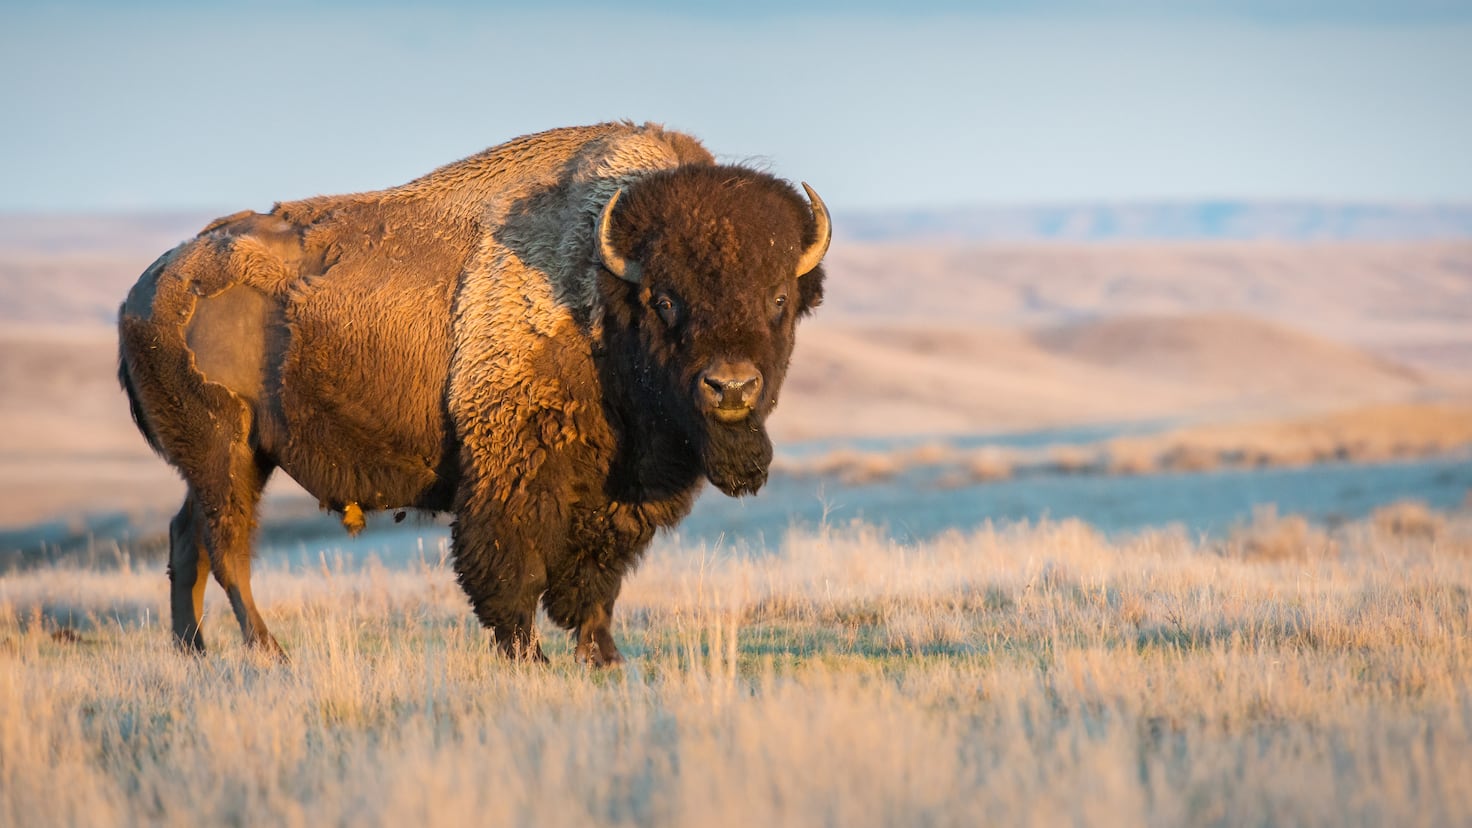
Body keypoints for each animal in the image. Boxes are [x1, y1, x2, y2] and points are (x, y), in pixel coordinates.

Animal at [117, 122, 830, 664]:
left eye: (778, 299)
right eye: (665, 299)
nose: (731, 387)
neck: (600, 291)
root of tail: (146, 289)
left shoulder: (618, 494)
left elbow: (597, 578)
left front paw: (603, 657)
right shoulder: (513, 468)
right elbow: (513, 567)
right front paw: (530, 657)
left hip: (231, 459)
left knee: (187, 538)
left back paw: (194, 651)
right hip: (226, 450)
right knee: (226, 546)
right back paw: (269, 652)